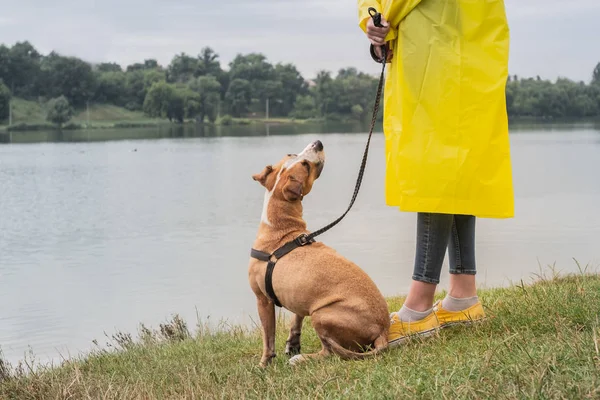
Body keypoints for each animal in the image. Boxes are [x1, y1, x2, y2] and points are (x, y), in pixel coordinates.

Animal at [247, 140, 390, 366]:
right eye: (293, 155)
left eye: (305, 165)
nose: (318, 142)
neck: (280, 227)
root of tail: (383, 330)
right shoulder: (299, 295)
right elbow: (296, 320)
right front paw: (292, 343)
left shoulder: (263, 299)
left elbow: (268, 337)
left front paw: (264, 364)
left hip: (320, 314)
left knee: (329, 352)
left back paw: (300, 359)